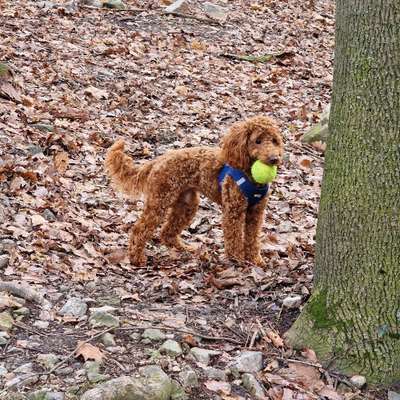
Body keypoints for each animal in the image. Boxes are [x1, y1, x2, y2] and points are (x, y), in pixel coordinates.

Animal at [104, 115, 282, 266]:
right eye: (257, 141)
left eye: (274, 141)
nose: (274, 158)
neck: (251, 176)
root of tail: (158, 160)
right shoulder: (234, 211)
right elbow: (234, 238)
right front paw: (237, 260)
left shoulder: (256, 213)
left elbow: (252, 239)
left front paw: (255, 260)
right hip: (160, 201)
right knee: (139, 229)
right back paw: (136, 258)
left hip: (187, 203)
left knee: (167, 233)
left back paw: (184, 248)